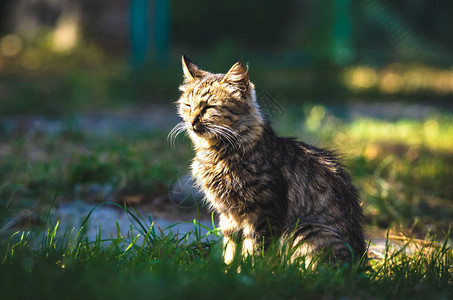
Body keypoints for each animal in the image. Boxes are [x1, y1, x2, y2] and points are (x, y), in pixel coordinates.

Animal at [171, 55, 366, 266]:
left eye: (209, 107)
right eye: (188, 106)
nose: (191, 121)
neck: (216, 153)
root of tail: (361, 264)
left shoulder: (262, 213)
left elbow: (253, 250)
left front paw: (248, 270)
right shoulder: (229, 216)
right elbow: (230, 250)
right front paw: (228, 269)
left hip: (305, 230)